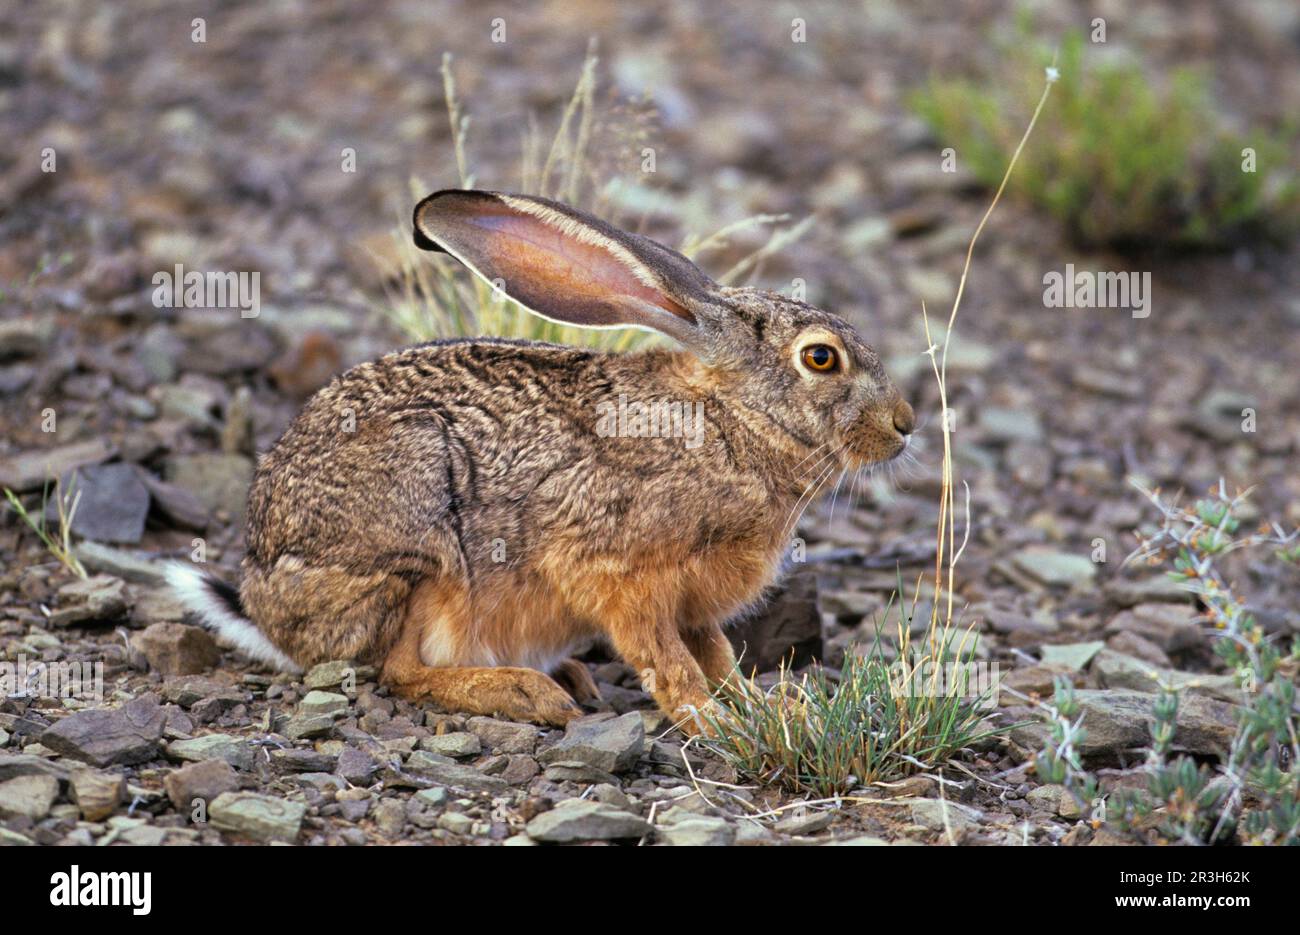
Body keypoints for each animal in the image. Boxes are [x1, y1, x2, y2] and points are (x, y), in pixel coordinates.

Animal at [167, 188, 914, 731]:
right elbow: (668, 659)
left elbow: (719, 655)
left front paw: (765, 707)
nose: (904, 425)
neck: (735, 421)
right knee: (400, 669)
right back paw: (527, 693)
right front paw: (710, 721)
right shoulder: (617, 572)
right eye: (821, 358)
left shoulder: (696, 603)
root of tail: (265, 604)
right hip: (419, 537)